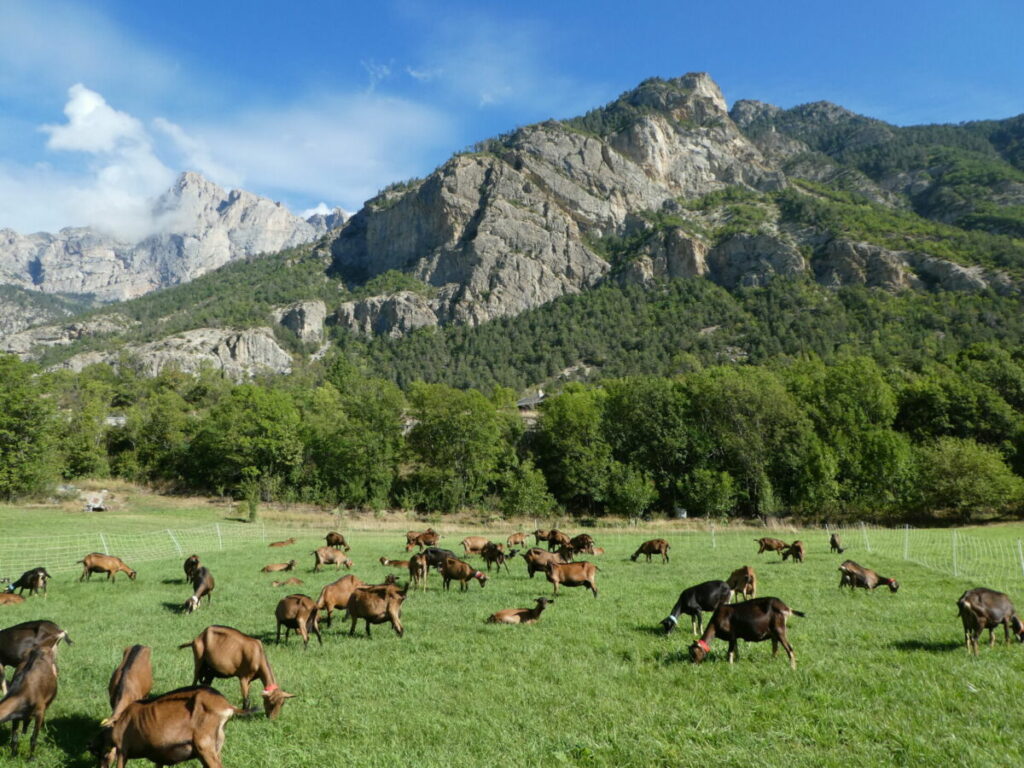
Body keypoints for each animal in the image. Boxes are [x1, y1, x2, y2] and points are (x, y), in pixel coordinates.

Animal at [92, 688, 239, 768]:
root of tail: (227, 706)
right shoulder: (160, 757)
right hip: (215, 748)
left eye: (100, 753)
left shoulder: (122, 750)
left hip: (204, 746)